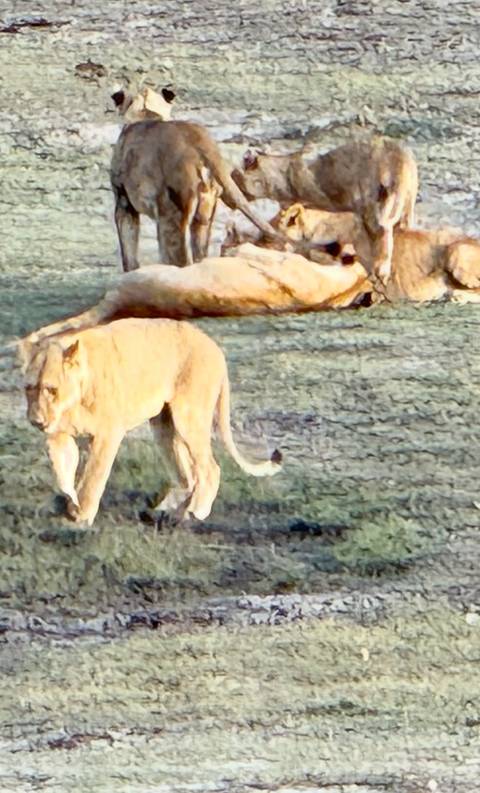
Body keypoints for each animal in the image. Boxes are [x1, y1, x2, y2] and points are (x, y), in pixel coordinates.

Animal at [22, 318, 281, 527]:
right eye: (29, 388)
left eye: (51, 389)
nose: (36, 420)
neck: (75, 397)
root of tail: (215, 348)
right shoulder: (57, 435)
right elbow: (63, 472)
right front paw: (69, 506)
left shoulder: (108, 434)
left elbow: (93, 476)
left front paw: (81, 516)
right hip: (164, 426)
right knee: (188, 477)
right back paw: (169, 511)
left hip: (189, 416)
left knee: (209, 468)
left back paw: (195, 512)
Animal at [231, 138, 418, 285]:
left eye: (236, 174)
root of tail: (400, 157)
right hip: (405, 205)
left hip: (377, 208)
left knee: (384, 235)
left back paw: (380, 272)